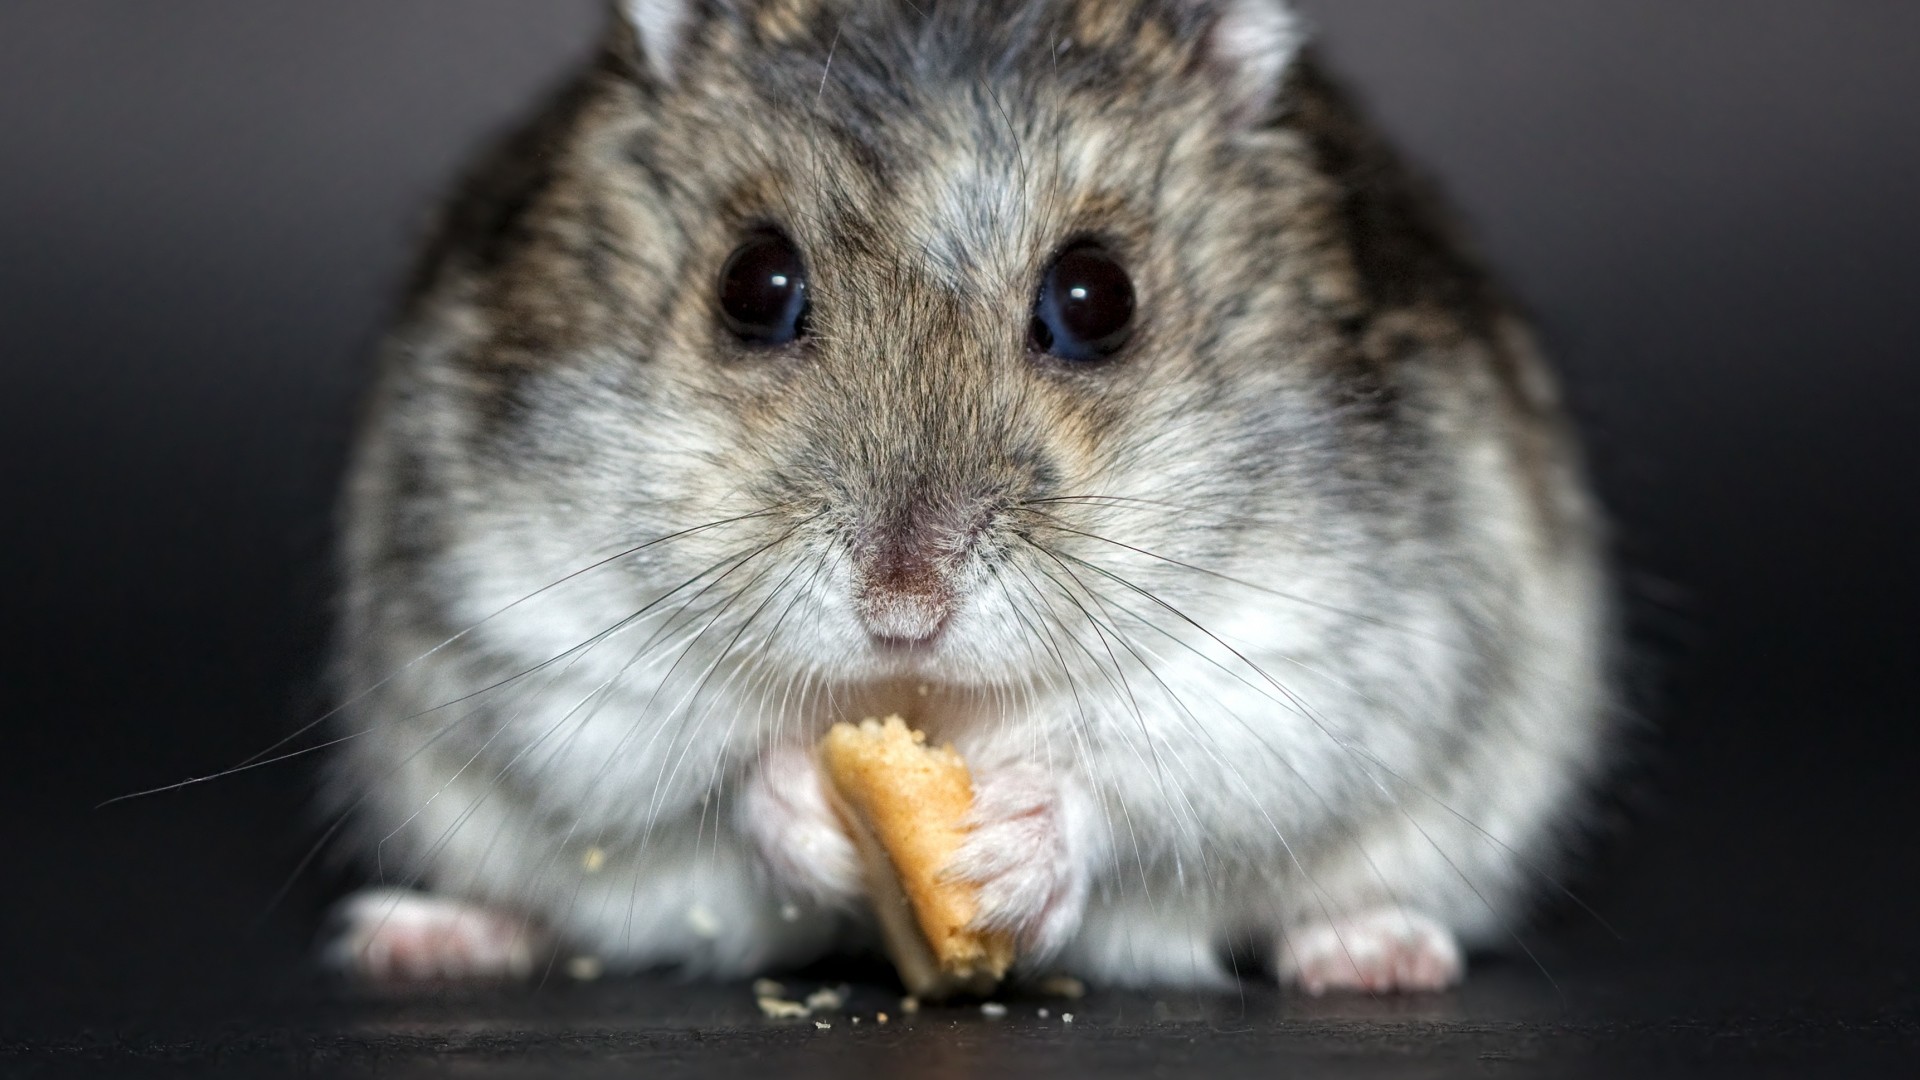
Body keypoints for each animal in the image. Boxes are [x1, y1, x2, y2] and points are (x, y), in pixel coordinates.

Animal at [324, 0, 1614, 994]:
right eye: (754, 285)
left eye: (1096, 298)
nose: (903, 607)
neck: (924, 696)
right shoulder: (536, 626)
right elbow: (702, 767)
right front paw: (808, 804)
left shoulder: (1317, 657)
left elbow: (1146, 775)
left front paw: (1004, 851)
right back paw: (420, 937)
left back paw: (1374, 955)